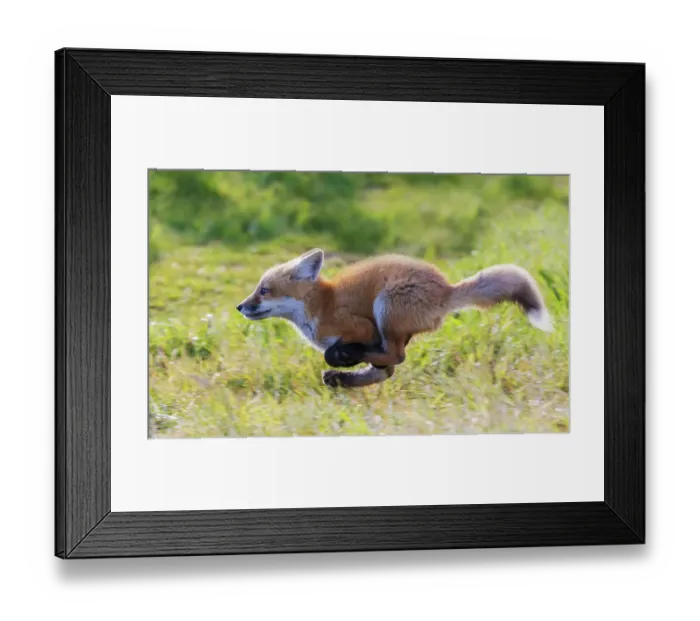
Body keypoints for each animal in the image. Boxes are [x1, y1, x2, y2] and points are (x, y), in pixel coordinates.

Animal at [237, 249, 552, 389]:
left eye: (264, 291)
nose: (240, 306)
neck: (320, 306)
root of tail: (446, 289)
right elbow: (381, 369)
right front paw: (346, 367)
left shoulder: (362, 326)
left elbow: (340, 351)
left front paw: (343, 356)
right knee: (388, 365)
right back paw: (343, 376)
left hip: (385, 308)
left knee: (395, 357)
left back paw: (344, 364)